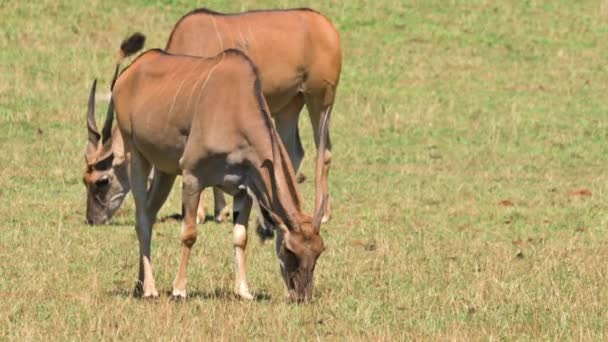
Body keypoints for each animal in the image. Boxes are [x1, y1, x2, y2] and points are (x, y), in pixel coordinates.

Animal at [86, 35, 328, 302]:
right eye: (289, 248)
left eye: (318, 251)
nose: (302, 295)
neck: (236, 107)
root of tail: (128, 74)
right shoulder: (192, 177)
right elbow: (189, 234)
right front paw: (179, 290)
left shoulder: (244, 188)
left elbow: (240, 237)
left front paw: (243, 291)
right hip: (136, 155)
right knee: (141, 219)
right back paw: (150, 289)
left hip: (164, 171)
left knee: (149, 213)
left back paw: (140, 284)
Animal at [164, 7, 340, 224]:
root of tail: (326, 24)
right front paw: (220, 211)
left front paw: (199, 214)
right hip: (290, 106)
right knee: (293, 152)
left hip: (320, 99)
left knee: (324, 151)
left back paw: (323, 213)